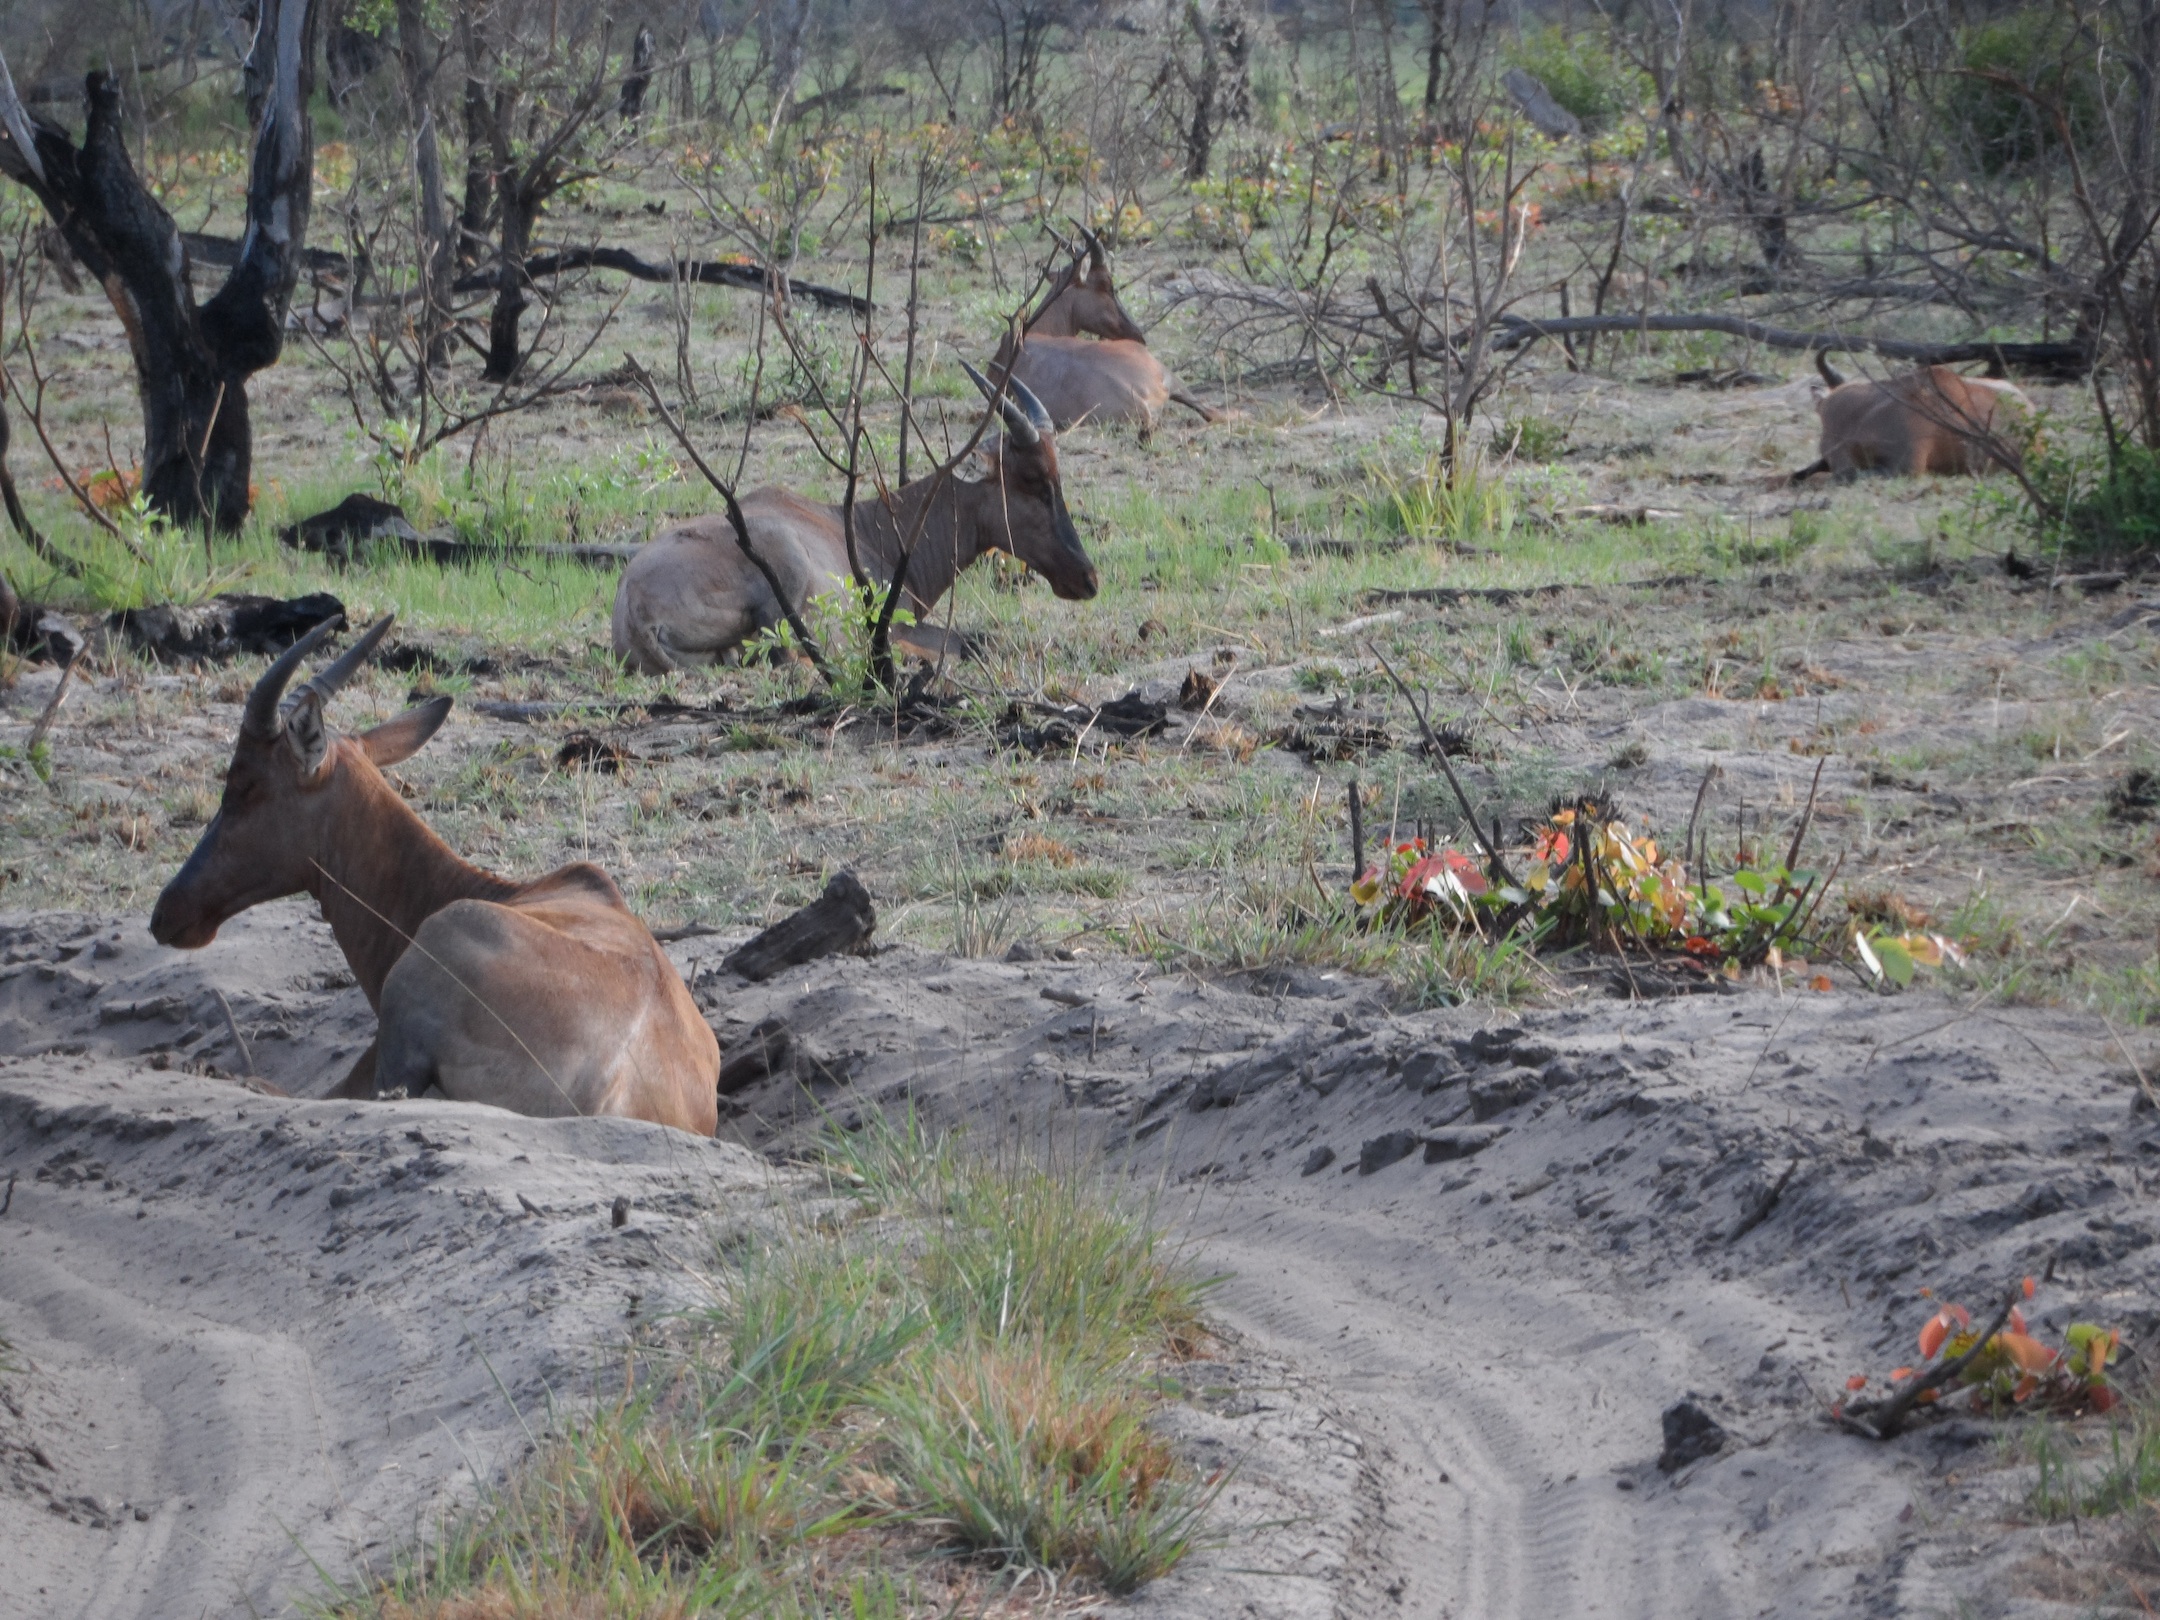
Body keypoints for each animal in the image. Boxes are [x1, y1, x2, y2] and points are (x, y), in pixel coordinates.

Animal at [622, 365, 1097, 673]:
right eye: (1034, 480)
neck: (869, 530)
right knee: (790, 656)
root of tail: (634, 611)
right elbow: (973, 641)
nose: (1087, 578)